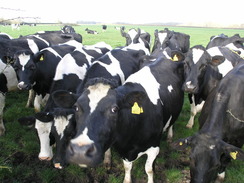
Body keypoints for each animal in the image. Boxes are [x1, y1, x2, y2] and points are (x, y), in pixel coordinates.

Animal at [51, 51, 185, 183]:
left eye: (114, 109)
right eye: (76, 107)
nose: (81, 152)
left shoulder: (154, 147)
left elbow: (149, 169)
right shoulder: (123, 150)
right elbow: (127, 167)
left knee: (172, 122)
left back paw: (170, 136)